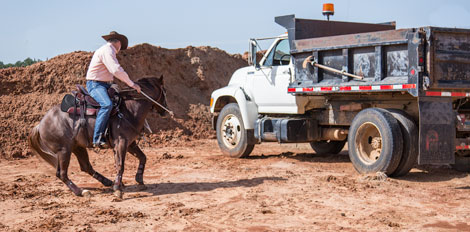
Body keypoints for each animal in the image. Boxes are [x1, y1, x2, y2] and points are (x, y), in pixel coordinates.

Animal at [28, 77, 168, 198]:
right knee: (62, 174)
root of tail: (40, 124)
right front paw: (118, 189)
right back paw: (81, 191)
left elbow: (143, 157)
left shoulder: (130, 143)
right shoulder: (121, 142)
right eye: (164, 91)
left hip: (77, 147)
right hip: (64, 151)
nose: (165, 111)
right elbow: (120, 165)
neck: (129, 108)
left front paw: (138, 179)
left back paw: (107, 182)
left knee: (85, 167)